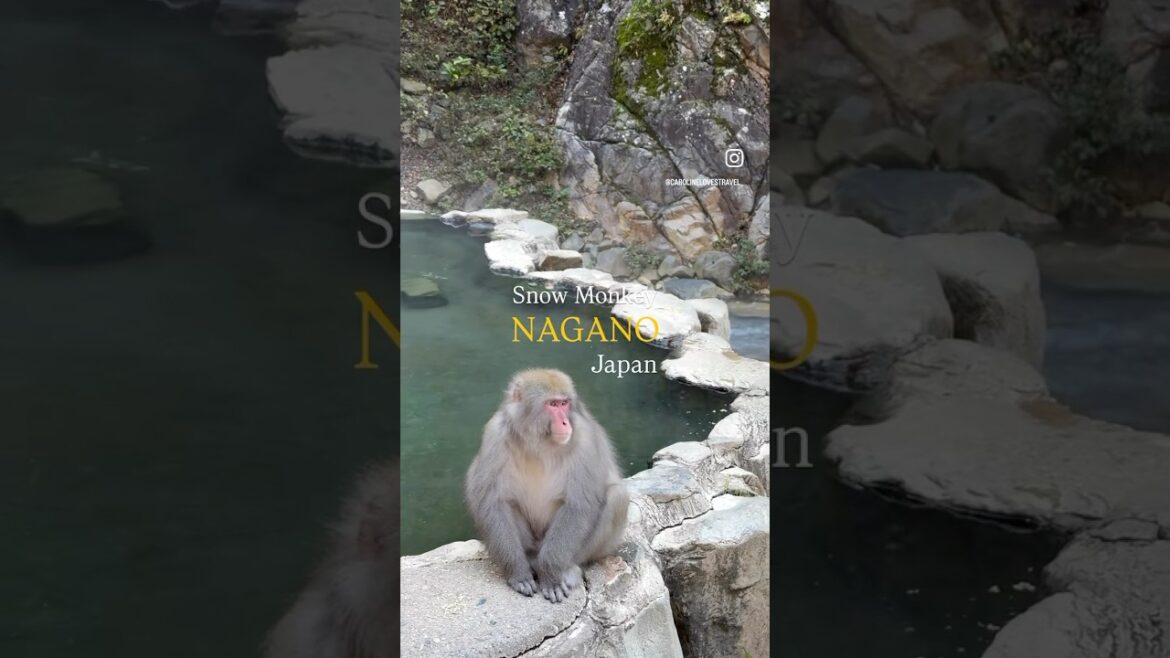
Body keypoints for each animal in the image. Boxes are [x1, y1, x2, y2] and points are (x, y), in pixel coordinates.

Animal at [465, 368, 630, 603]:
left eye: (564, 404)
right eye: (552, 404)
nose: (565, 423)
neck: (539, 442)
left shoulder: (584, 439)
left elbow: (578, 505)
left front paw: (551, 577)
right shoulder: (494, 434)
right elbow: (492, 502)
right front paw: (518, 573)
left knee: (617, 496)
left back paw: (565, 568)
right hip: (533, 542)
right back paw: (530, 560)